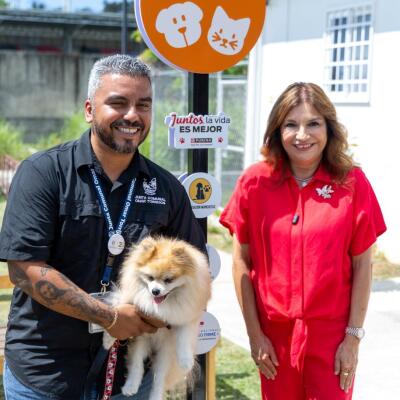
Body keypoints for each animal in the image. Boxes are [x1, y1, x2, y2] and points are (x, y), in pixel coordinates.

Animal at [103, 236, 211, 400]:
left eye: (169, 280)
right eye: (150, 278)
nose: (155, 291)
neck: (161, 305)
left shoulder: (186, 315)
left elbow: (184, 336)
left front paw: (186, 361)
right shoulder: (132, 301)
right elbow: (119, 306)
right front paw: (108, 339)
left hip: (165, 352)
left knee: (159, 378)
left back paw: (155, 395)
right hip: (141, 340)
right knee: (137, 365)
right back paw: (130, 387)